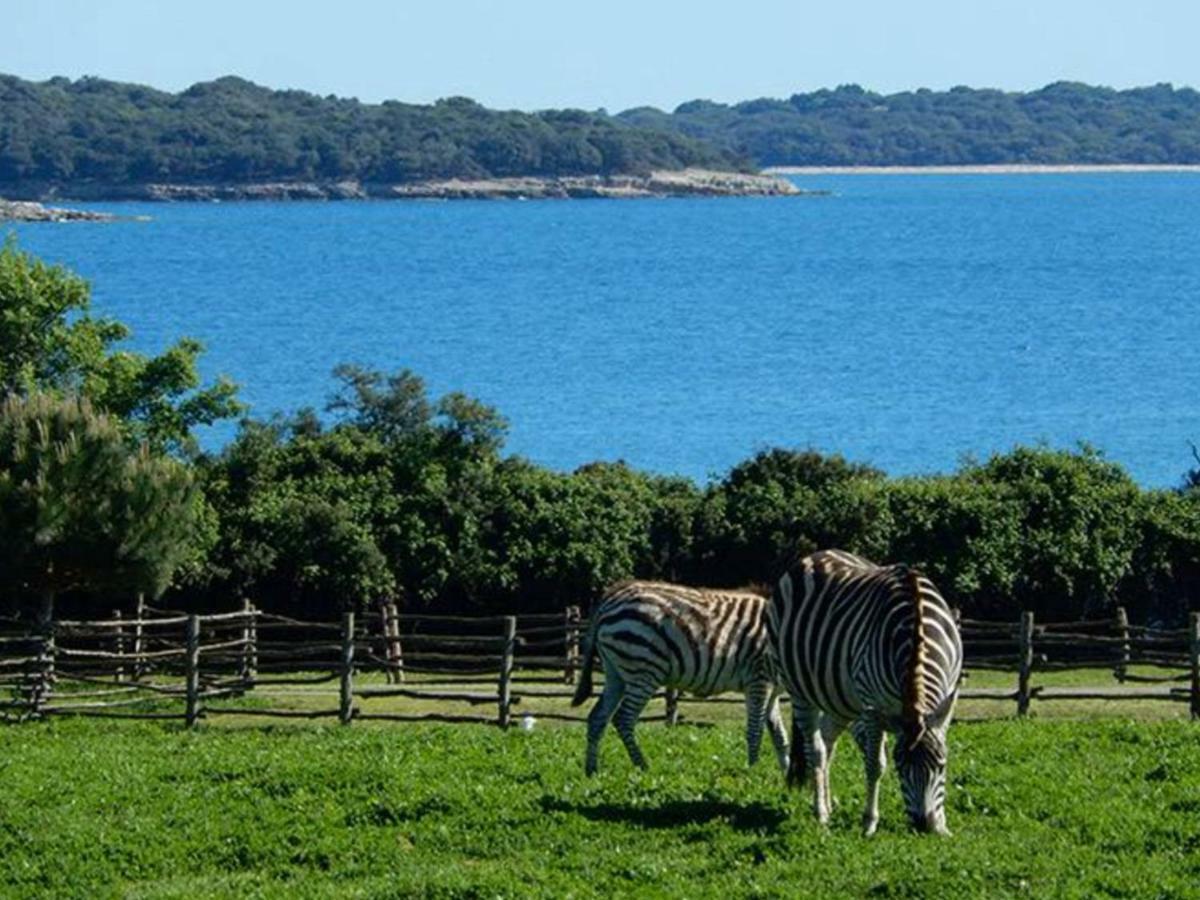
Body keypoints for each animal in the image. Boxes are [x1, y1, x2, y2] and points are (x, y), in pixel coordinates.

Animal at [568, 580, 792, 777]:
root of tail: (610, 598)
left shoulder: (770, 689)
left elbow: (779, 734)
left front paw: (787, 776)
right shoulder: (759, 679)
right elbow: (756, 731)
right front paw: (753, 771)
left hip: (615, 674)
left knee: (597, 717)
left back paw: (591, 771)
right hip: (643, 670)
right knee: (623, 719)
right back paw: (643, 767)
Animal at [768, 549, 964, 840]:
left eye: (941, 766)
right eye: (901, 768)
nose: (923, 826)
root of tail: (816, 554)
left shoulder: (946, 693)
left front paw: (943, 824)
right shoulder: (873, 707)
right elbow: (875, 764)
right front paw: (869, 823)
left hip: (840, 699)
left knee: (826, 742)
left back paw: (828, 803)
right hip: (800, 689)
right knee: (815, 748)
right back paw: (820, 812)